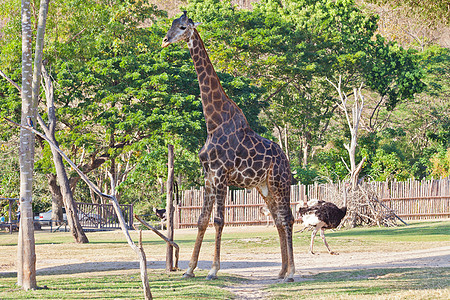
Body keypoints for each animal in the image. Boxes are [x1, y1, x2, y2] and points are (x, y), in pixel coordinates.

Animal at [162, 11, 296, 282]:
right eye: (171, 25)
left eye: (182, 27)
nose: (165, 40)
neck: (213, 122)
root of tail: (286, 158)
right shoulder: (208, 176)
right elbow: (201, 220)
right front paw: (190, 270)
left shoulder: (221, 174)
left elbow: (219, 220)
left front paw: (213, 270)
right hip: (265, 187)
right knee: (278, 219)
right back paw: (280, 271)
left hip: (280, 181)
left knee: (288, 218)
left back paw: (291, 273)